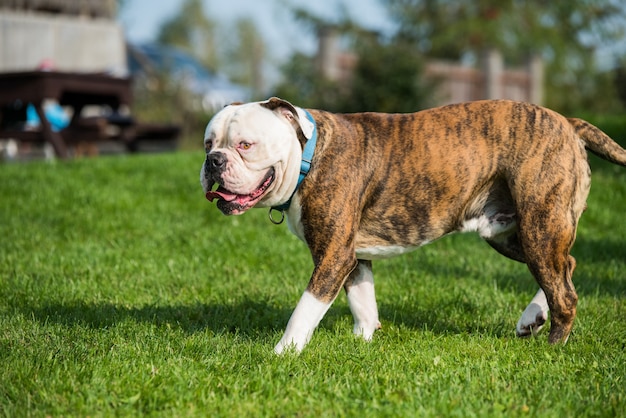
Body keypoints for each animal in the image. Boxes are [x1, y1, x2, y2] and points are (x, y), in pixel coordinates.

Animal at [200, 98, 624, 352]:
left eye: (245, 145)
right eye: (208, 143)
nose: (213, 161)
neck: (308, 153)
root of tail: (568, 123)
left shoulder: (332, 257)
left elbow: (305, 309)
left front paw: (282, 354)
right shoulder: (352, 256)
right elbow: (363, 300)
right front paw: (363, 340)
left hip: (540, 225)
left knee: (563, 291)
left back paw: (553, 344)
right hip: (508, 232)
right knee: (565, 266)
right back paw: (531, 318)